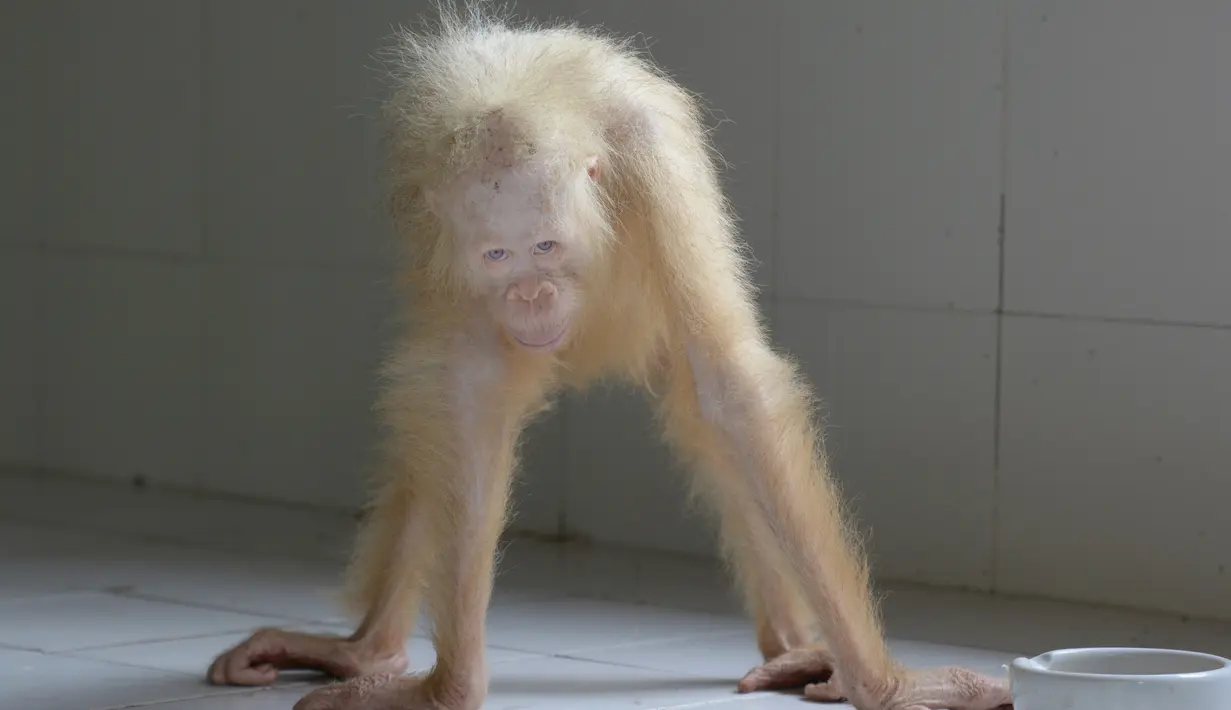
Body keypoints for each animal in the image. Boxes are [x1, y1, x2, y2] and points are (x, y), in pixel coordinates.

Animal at [206, 4, 1013, 709]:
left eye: (546, 247)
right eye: (498, 256)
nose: (531, 296)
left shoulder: (651, 157)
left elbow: (729, 390)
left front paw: (887, 688)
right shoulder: (440, 227)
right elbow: (466, 397)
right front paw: (448, 688)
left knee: (707, 415)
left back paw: (798, 650)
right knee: (432, 414)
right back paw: (366, 650)